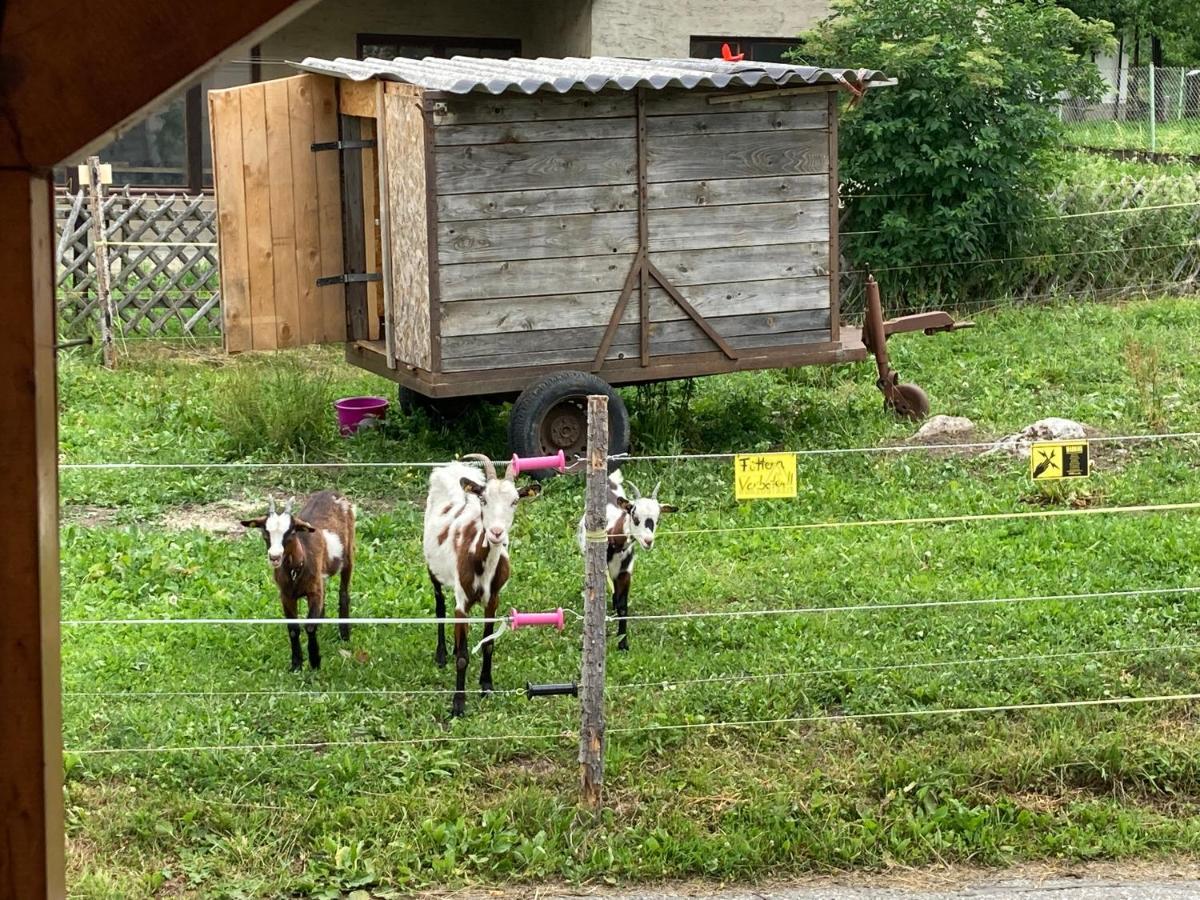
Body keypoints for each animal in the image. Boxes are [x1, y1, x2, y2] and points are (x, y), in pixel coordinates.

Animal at [241, 494, 352, 672]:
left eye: (291, 532)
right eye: (265, 532)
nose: (274, 557)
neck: (297, 568)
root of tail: (331, 492)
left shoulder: (314, 593)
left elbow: (310, 626)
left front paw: (315, 661)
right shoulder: (286, 596)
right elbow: (293, 629)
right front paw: (296, 664)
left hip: (348, 555)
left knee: (344, 592)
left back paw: (344, 634)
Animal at [420, 458, 537, 720]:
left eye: (515, 501)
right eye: (483, 500)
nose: (496, 533)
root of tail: (453, 467)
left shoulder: (493, 599)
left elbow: (488, 643)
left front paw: (486, 686)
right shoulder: (462, 602)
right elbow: (464, 657)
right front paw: (458, 704)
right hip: (433, 570)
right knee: (440, 607)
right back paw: (442, 654)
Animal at [578, 472, 681, 648]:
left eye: (658, 519)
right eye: (634, 516)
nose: (648, 541)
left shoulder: (625, 573)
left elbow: (623, 607)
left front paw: (623, 643)